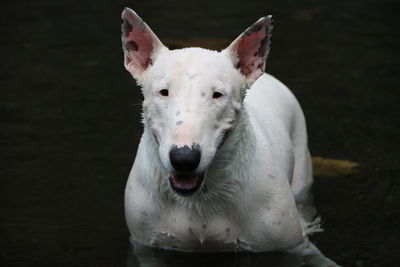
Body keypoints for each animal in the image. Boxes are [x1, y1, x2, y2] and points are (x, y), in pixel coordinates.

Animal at [121, 7, 338, 266]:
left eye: (218, 94)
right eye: (164, 92)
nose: (184, 159)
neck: (200, 202)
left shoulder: (291, 245)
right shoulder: (147, 245)